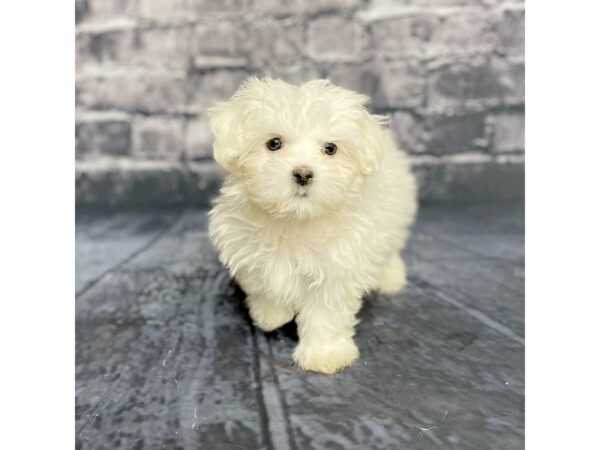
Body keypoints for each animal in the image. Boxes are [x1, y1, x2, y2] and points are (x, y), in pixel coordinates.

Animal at [206, 79, 418, 374]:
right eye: (274, 143)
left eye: (330, 148)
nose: (303, 174)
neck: (294, 219)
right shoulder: (242, 242)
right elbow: (262, 281)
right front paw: (271, 314)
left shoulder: (338, 266)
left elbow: (326, 312)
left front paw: (325, 354)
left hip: (395, 214)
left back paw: (389, 277)